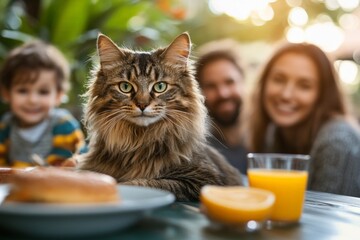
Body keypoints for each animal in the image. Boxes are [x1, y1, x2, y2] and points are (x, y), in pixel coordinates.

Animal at [78, 31, 242, 201]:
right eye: (125, 87)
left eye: (160, 86)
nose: (142, 104)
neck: (138, 143)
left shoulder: (204, 180)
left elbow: (147, 183)